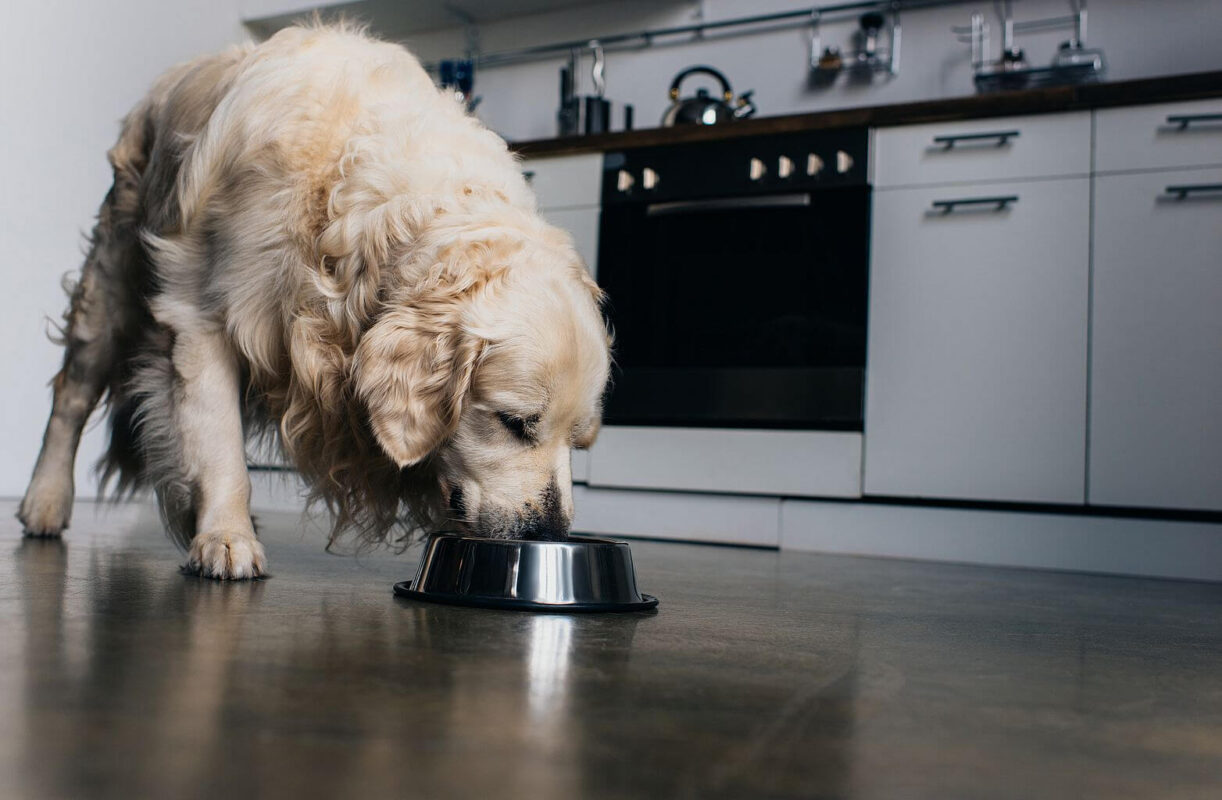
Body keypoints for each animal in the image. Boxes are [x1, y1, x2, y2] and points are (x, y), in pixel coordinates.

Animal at [19, 21, 611, 578]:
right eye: (514, 423)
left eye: (580, 440)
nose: (551, 534)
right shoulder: (202, 314)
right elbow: (220, 444)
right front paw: (226, 538)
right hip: (111, 281)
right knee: (71, 396)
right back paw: (45, 501)